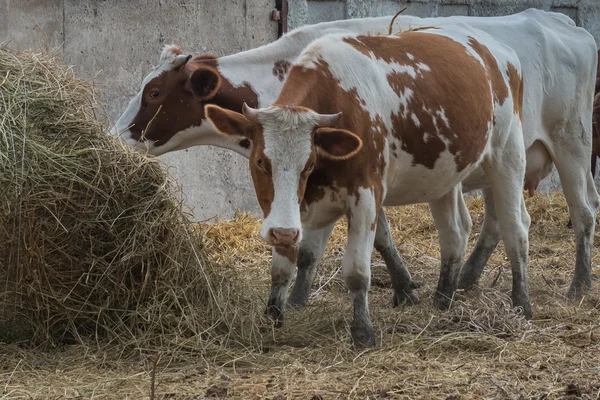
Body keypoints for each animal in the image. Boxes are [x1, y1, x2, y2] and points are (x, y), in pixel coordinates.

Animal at [205, 25, 528, 346]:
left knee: (515, 229)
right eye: (260, 160)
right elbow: (282, 268)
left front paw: (362, 332)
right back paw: (443, 299)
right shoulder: (292, 211)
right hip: (445, 174)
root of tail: (494, 46)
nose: (282, 232)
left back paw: (522, 303)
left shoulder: (366, 197)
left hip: (507, 156)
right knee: (455, 232)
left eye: (309, 164)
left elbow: (357, 271)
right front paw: (273, 319)